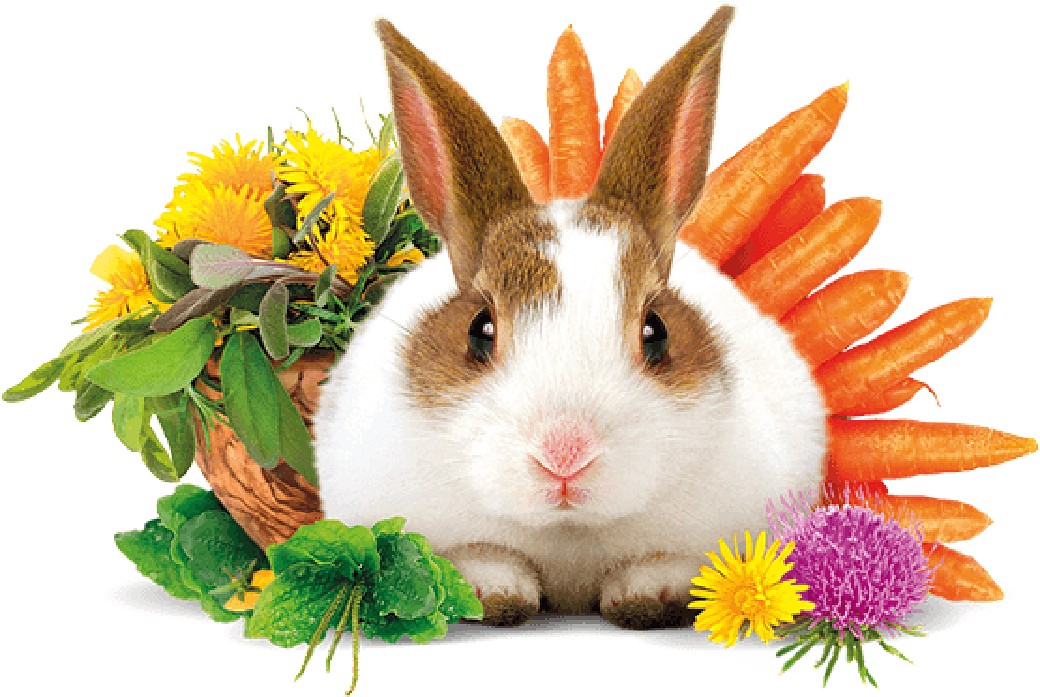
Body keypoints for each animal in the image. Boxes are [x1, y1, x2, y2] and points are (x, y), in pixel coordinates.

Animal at [314, 2, 828, 630]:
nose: (564, 454)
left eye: (655, 332)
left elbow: (668, 565)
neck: (569, 536)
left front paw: (647, 598)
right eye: (479, 330)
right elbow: (481, 557)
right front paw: (494, 596)